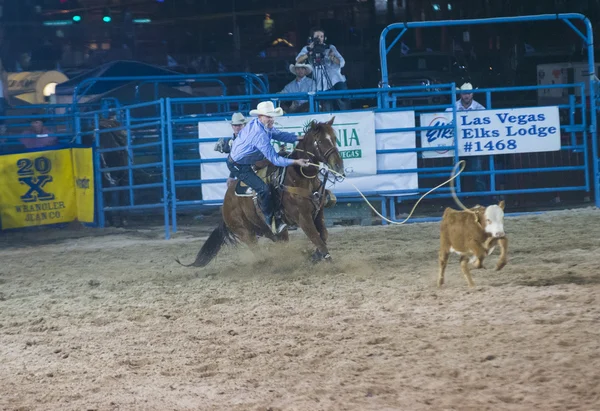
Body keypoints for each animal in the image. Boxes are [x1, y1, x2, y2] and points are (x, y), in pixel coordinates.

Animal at [176, 117, 344, 268]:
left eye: (335, 138)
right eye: (320, 141)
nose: (338, 166)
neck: (299, 176)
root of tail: (225, 204)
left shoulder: (318, 213)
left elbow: (323, 236)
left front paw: (315, 256)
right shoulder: (303, 218)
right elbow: (317, 239)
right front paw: (329, 263)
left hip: (268, 229)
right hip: (245, 232)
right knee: (256, 249)